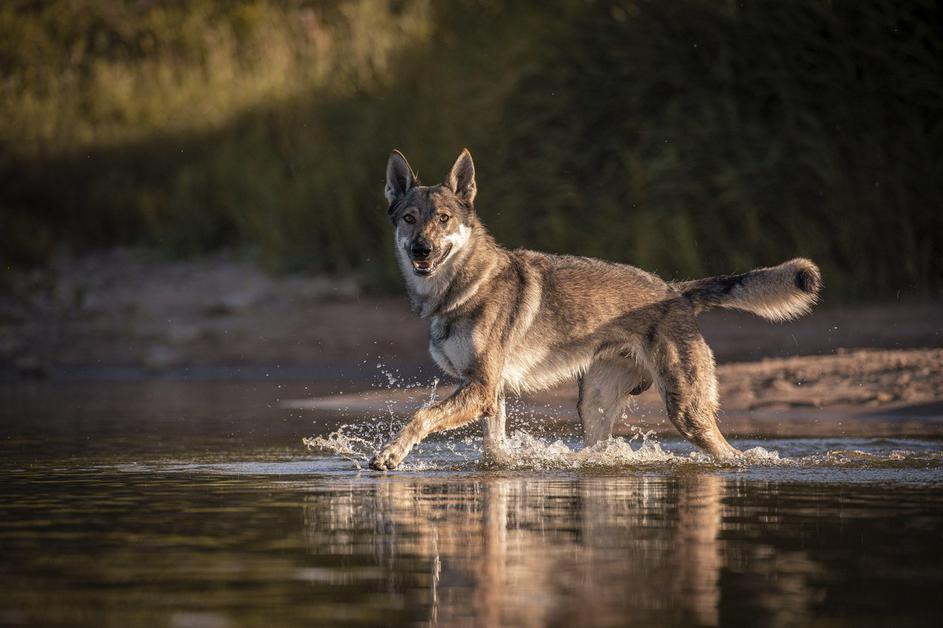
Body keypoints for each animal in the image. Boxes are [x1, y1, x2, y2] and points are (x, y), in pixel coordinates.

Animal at [368, 148, 820, 472]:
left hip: (686, 413)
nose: (421, 251)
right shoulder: (488, 393)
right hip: (594, 407)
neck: (457, 291)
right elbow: (492, 449)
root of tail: (675, 292)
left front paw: (389, 454)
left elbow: (421, 415)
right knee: (598, 450)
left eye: (444, 219)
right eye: (410, 219)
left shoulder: (479, 387)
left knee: (728, 453)